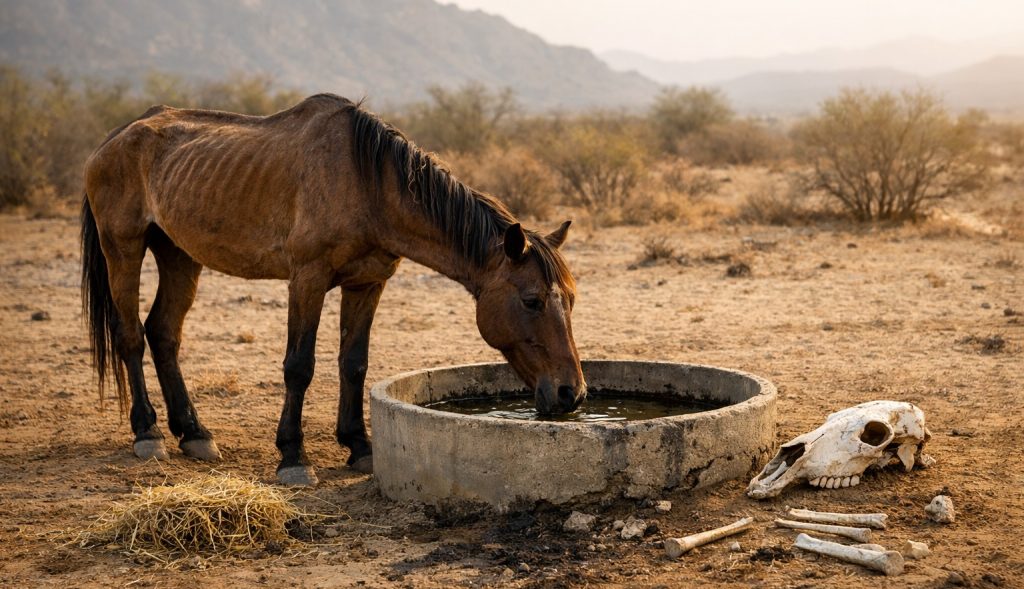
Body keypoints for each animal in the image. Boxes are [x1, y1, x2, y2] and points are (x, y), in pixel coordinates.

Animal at [80, 93, 585, 485]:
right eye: (531, 300)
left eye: (572, 300)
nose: (572, 394)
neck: (368, 185)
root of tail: (117, 135)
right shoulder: (308, 278)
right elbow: (299, 367)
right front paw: (293, 457)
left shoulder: (367, 283)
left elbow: (354, 364)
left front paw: (359, 446)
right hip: (123, 247)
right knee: (131, 336)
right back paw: (148, 433)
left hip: (179, 255)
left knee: (163, 333)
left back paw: (194, 433)